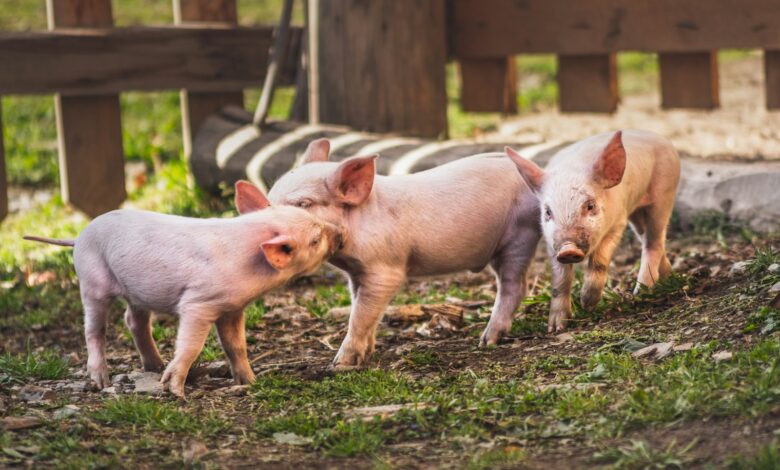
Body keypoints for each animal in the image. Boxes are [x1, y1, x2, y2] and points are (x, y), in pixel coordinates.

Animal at [24, 181, 341, 397]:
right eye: (315, 239)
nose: (340, 233)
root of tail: (78, 237)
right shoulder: (198, 304)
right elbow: (191, 344)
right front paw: (175, 390)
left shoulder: (232, 308)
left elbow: (236, 346)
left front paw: (251, 382)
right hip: (92, 281)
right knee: (93, 329)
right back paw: (102, 381)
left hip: (135, 292)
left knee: (134, 321)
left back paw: (154, 365)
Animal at [267, 138, 542, 368]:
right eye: (270, 199)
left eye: (304, 204)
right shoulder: (356, 273)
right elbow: (362, 309)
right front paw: (366, 355)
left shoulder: (385, 268)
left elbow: (360, 314)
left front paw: (339, 365)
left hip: (520, 235)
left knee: (515, 285)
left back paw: (487, 341)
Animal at [506, 130, 681, 332]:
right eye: (548, 212)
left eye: (590, 205)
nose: (568, 249)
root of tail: (659, 138)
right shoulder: (551, 242)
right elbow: (560, 279)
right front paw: (556, 327)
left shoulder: (618, 222)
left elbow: (599, 261)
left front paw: (587, 304)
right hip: (637, 213)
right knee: (648, 239)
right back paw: (668, 277)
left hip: (664, 195)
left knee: (654, 242)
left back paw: (641, 292)